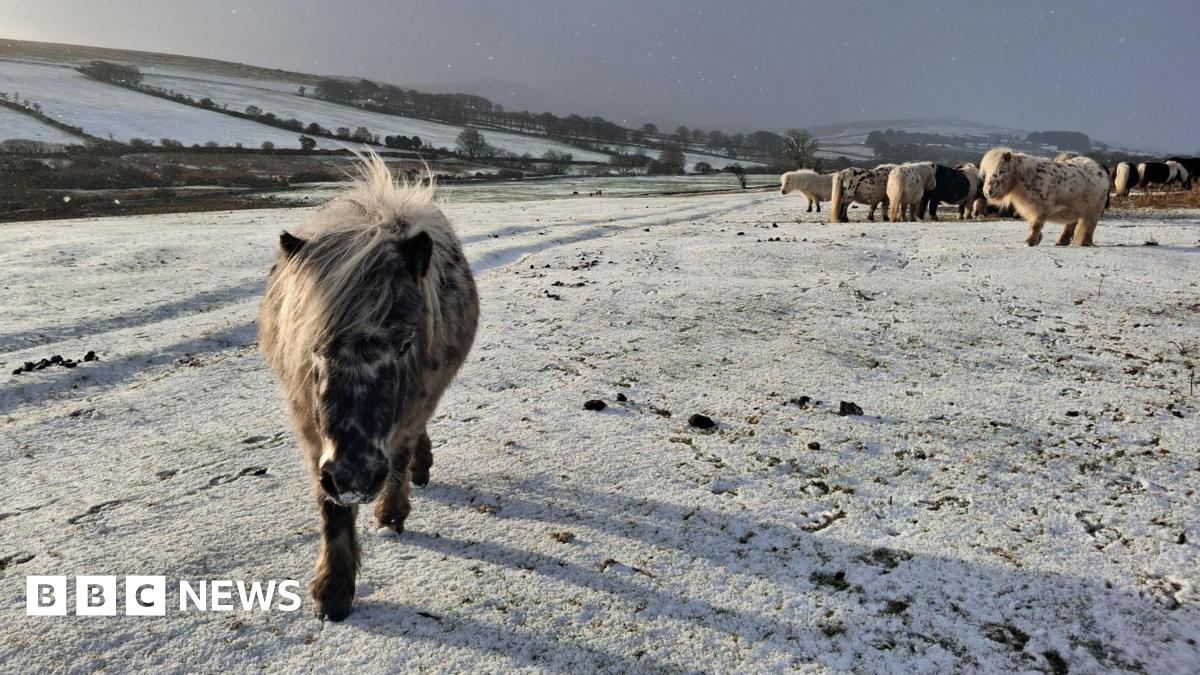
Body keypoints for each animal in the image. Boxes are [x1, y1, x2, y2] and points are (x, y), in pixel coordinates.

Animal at [258, 151, 480, 621]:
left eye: (405, 344)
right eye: (313, 346)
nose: (354, 476)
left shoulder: (411, 406)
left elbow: (398, 456)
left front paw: (391, 514)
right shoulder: (311, 430)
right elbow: (332, 511)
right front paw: (334, 588)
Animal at [979, 147, 1108, 246]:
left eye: (1002, 171)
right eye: (987, 172)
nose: (988, 192)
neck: (1027, 176)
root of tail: (1099, 167)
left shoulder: (1040, 210)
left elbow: (1035, 225)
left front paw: (1030, 242)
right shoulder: (1031, 209)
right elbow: (1032, 225)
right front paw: (1036, 240)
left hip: (1094, 210)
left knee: (1089, 225)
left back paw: (1084, 242)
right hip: (1076, 209)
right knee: (1071, 225)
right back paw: (1062, 242)